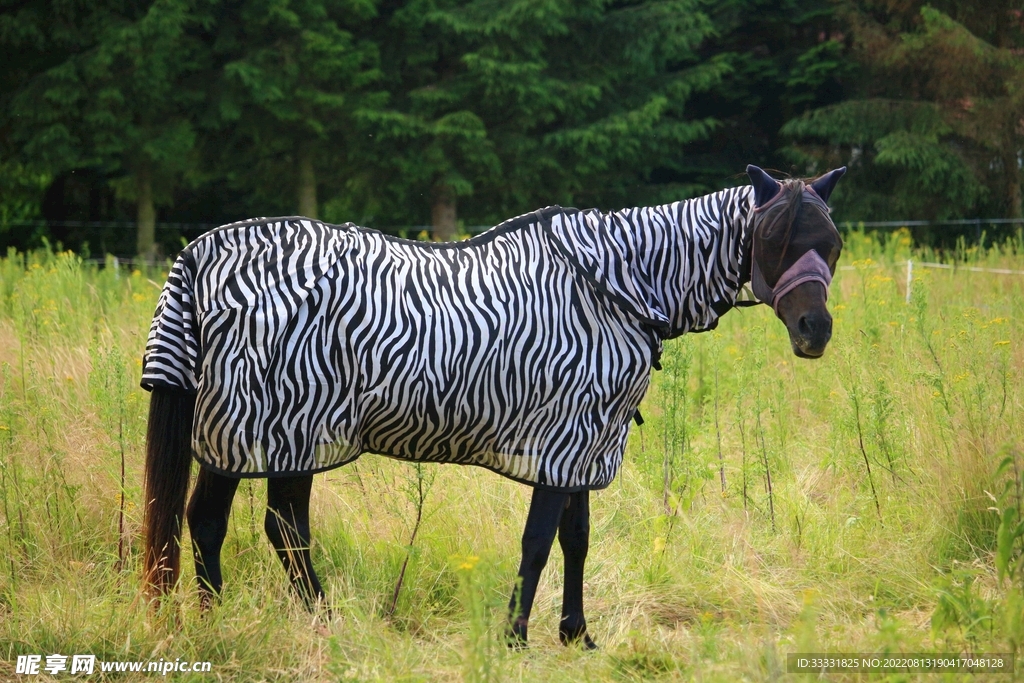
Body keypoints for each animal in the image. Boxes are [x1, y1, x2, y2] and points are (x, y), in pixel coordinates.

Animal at [140, 164, 845, 648]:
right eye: (774, 238)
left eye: (832, 243)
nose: (814, 330)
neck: (614, 286)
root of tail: (200, 252)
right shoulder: (560, 444)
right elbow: (537, 543)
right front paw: (515, 637)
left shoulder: (581, 447)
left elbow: (575, 540)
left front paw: (576, 635)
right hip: (265, 430)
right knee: (237, 524)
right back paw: (259, 621)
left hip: (280, 436)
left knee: (255, 525)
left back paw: (272, 619)